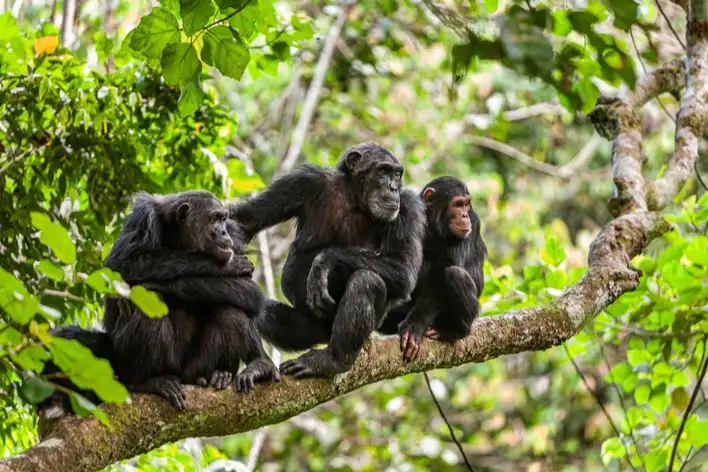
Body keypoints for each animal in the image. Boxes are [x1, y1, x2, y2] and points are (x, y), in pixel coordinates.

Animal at [103, 189, 280, 410]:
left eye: (223, 219)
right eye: (214, 218)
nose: (223, 232)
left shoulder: (234, 234)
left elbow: (249, 290)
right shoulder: (142, 219)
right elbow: (122, 265)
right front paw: (224, 265)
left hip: (196, 368)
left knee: (231, 308)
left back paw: (240, 369)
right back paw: (148, 381)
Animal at [230, 142, 424, 378]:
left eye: (396, 174)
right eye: (383, 171)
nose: (393, 188)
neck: (355, 198)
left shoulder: (408, 207)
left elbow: (403, 268)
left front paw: (323, 262)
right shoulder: (303, 182)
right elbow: (244, 221)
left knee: (366, 281)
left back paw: (332, 361)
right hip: (311, 331)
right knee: (263, 311)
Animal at [376, 176, 486, 362]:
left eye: (466, 204)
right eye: (458, 204)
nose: (464, 215)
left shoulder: (473, 222)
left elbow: (442, 272)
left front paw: (414, 327)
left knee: (455, 275)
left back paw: (453, 331)